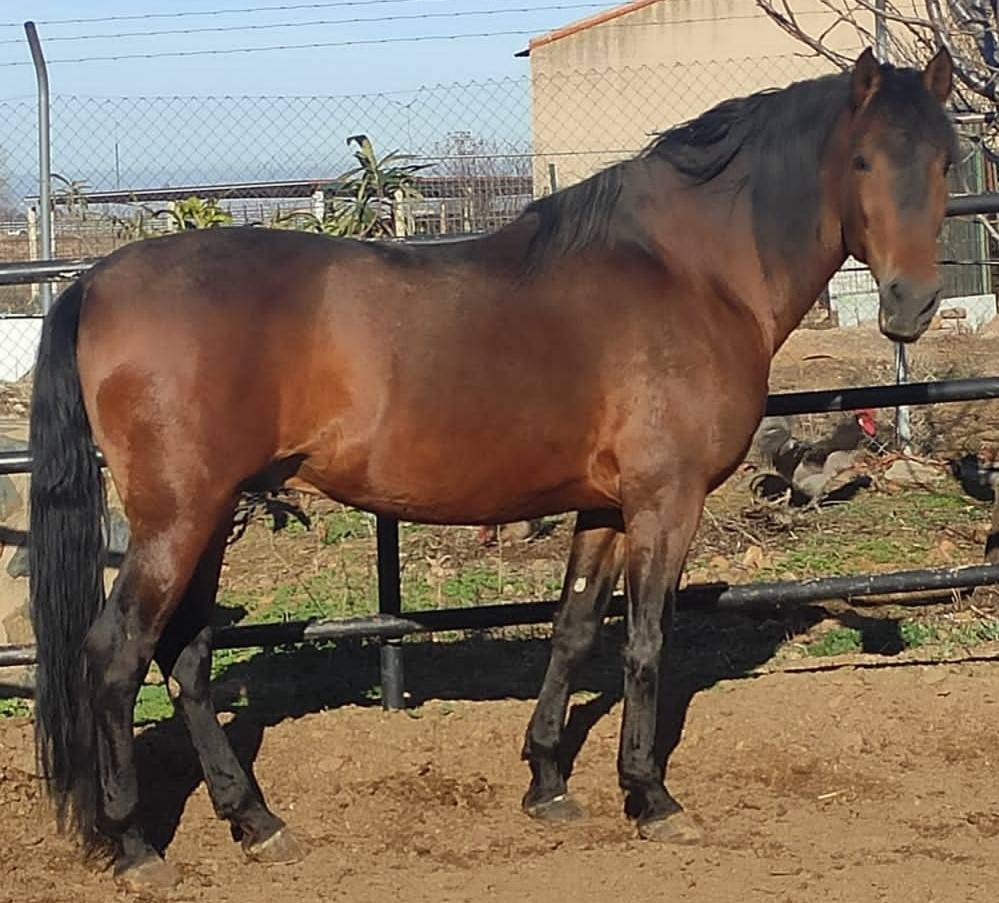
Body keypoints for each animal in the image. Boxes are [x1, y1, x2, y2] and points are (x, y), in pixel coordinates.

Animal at [28, 47, 956, 887]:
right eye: (864, 160)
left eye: (945, 157)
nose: (911, 305)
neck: (689, 272)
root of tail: (96, 280)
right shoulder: (666, 502)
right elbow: (646, 640)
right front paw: (649, 796)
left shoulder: (604, 507)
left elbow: (574, 629)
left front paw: (547, 780)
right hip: (179, 517)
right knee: (116, 654)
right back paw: (136, 845)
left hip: (213, 511)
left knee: (184, 656)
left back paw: (256, 821)